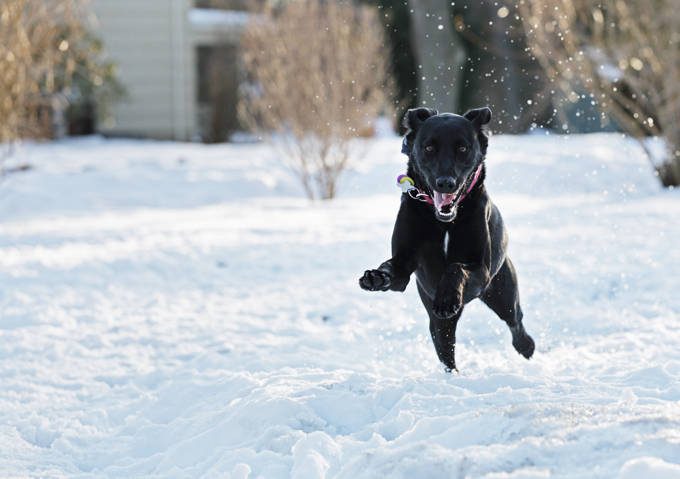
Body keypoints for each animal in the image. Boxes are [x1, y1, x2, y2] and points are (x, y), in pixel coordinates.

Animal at [358, 107, 532, 374]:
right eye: (429, 147)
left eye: (463, 148)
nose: (446, 182)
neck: (445, 222)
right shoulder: (404, 265)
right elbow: (391, 267)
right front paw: (376, 277)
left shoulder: (482, 270)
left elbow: (456, 267)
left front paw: (448, 297)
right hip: (438, 325)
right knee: (446, 351)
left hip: (503, 294)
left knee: (515, 321)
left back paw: (526, 346)